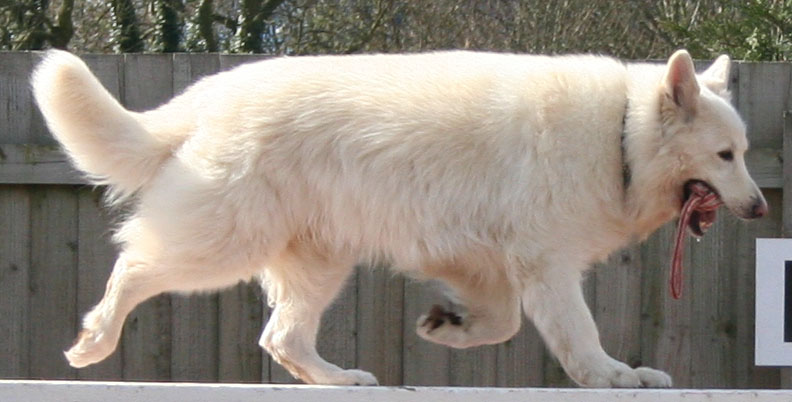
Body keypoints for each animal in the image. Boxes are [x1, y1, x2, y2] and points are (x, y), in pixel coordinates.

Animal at [32, 48, 768, 388]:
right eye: (725, 156)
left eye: (744, 153)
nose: (761, 207)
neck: (620, 134)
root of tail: (210, 93)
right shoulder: (547, 267)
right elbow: (579, 339)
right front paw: (616, 376)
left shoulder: (484, 263)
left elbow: (499, 324)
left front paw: (448, 327)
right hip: (222, 243)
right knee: (134, 265)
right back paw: (93, 339)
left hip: (319, 262)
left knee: (283, 338)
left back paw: (337, 380)